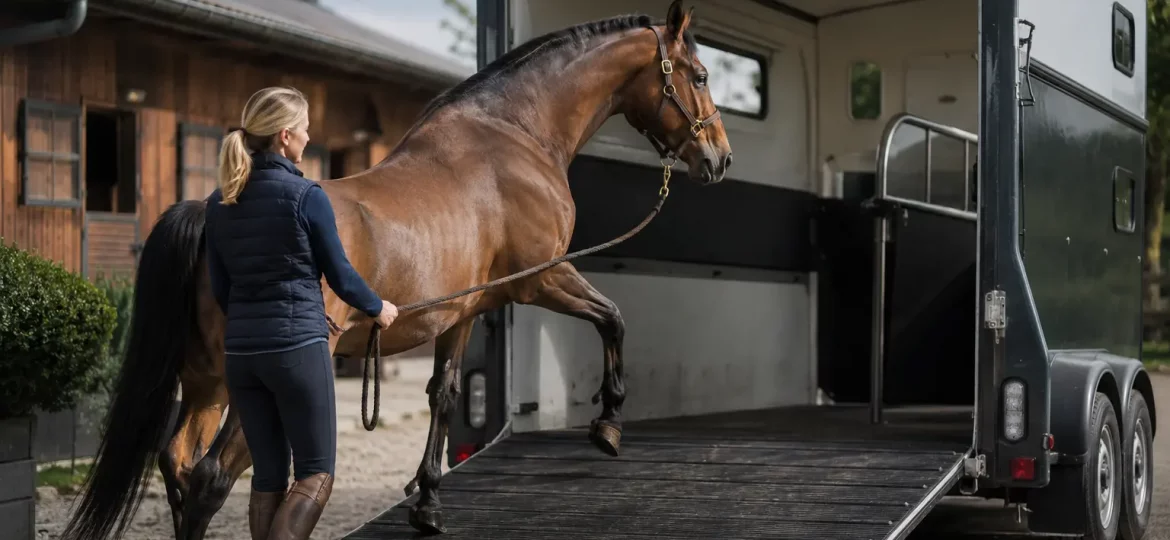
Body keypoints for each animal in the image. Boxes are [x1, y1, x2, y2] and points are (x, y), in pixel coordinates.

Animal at [60, 1, 732, 538]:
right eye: (699, 76)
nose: (719, 158)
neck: (513, 134)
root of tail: (209, 210)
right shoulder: (540, 279)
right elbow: (612, 318)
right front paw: (608, 424)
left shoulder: (464, 310)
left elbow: (445, 393)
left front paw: (427, 502)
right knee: (211, 478)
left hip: (207, 382)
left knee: (177, 466)